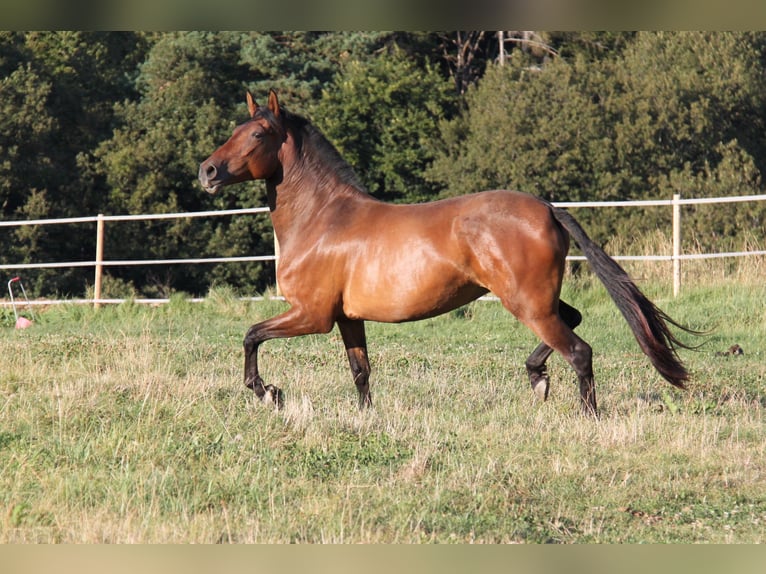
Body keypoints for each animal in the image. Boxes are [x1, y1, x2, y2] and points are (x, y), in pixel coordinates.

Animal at [200, 89, 704, 418]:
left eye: (259, 134)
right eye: (235, 129)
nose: (207, 171)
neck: (323, 219)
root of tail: (547, 208)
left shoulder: (311, 314)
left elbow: (251, 335)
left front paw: (267, 393)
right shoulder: (347, 318)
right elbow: (360, 371)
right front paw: (365, 418)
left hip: (526, 303)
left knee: (580, 351)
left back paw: (586, 415)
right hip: (536, 300)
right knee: (573, 321)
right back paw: (537, 378)